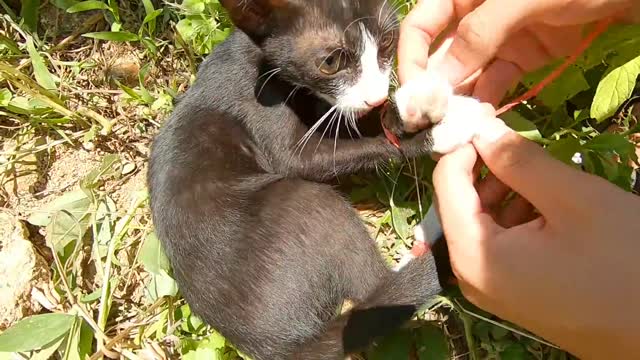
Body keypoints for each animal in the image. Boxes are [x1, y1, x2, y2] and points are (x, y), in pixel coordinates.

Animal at [146, 1, 484, 358]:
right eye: (330, 63)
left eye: (388, 41)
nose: (377, 97)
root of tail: (283, 348)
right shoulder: (267, 116)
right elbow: (337, 147)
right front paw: (444, 128)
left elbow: (360, 123)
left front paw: (412, 107)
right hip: (307, 203)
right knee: (378, 290)